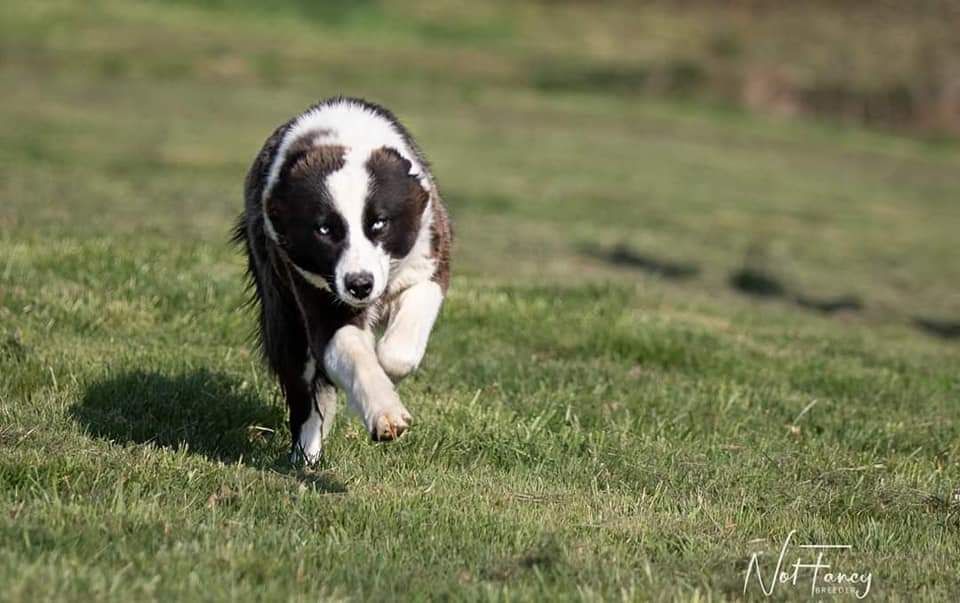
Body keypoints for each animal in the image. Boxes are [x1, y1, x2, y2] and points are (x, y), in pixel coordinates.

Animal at [236, 96, 454, 462]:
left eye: (379, 223)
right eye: (324, 229)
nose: (360, 284)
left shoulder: (429, 256)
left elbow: (398, 352)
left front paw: (387, 369)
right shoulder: (312, 289)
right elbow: (349, 350)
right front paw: (386, 415)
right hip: (281, 309)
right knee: (302, 386)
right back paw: (305, 453)